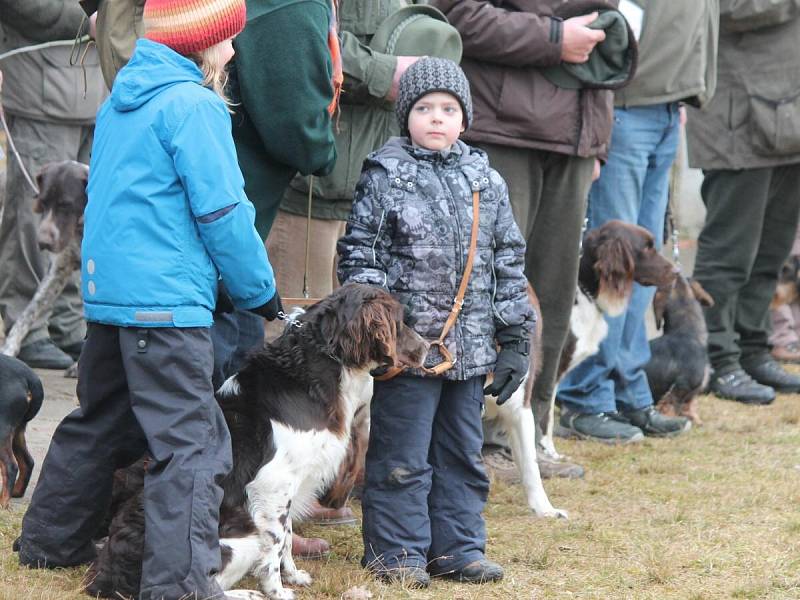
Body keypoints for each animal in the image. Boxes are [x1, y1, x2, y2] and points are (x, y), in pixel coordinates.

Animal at [84, 284, 428, 600]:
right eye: (401, 322)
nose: (427, 347)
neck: (312, 365)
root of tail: (110, 577)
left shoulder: (289, 486)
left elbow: (287, 537)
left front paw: (294, 576)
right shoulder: (272, 485)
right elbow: (275, 545)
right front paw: (278, 591)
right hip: (243, 537)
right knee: (205, 589)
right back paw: (249, 594)